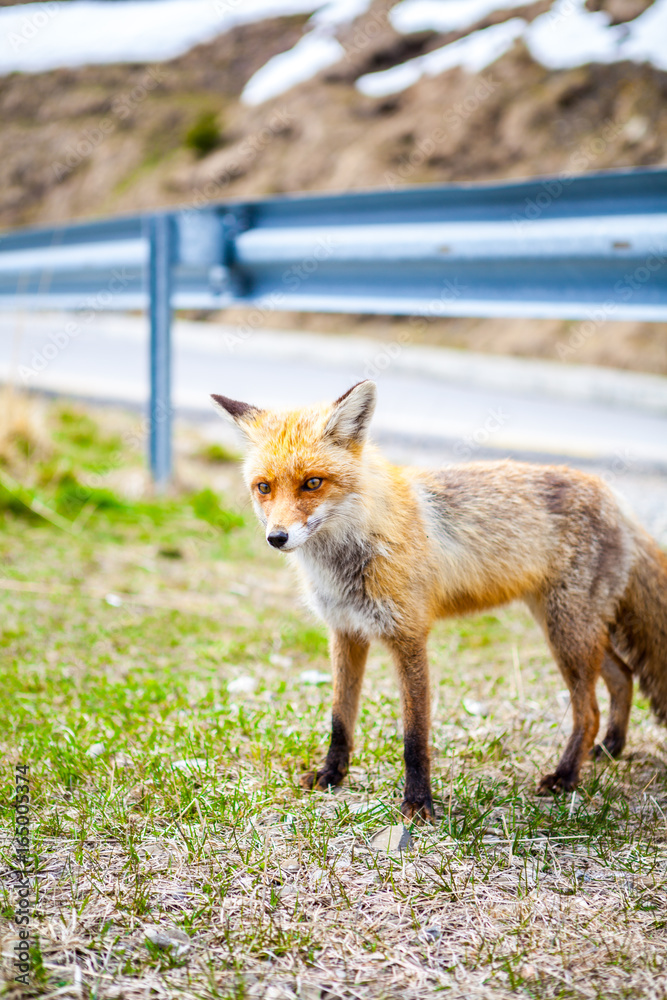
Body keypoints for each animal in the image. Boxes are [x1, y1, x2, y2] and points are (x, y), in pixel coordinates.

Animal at [212, 380, 667, 821]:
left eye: (312, 483)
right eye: (264, 487)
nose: (277, 537)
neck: (349, 555)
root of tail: (617, 500)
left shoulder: (409, 635)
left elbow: (415, 736)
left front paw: (418, 803)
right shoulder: (345, 631)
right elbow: (341, 719)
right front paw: (331, 775)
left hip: (567, 633)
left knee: (588, 710)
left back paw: (566, 776)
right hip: (569, 629)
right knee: (623, 677)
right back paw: (610, 748)